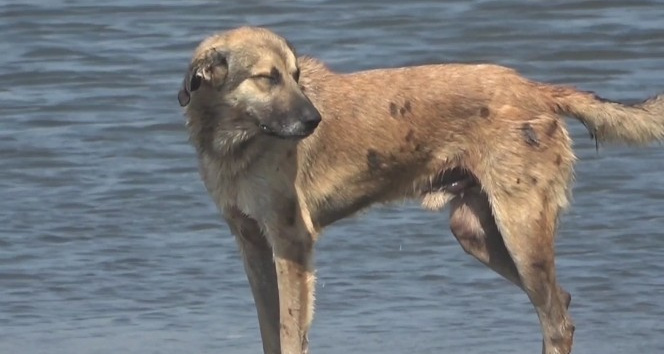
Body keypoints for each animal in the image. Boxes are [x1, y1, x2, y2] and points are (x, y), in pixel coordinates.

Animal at [176, 26, 664, 352]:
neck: (235, 138)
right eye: (267, 78)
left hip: (521, 230)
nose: (315, 120)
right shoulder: (253, 244)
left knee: (557, 321)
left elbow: (290, 331)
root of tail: (537, 90)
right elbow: (269, 328)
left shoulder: (291, 241)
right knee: (558, 305)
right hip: (476, 232)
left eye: (296, 76)